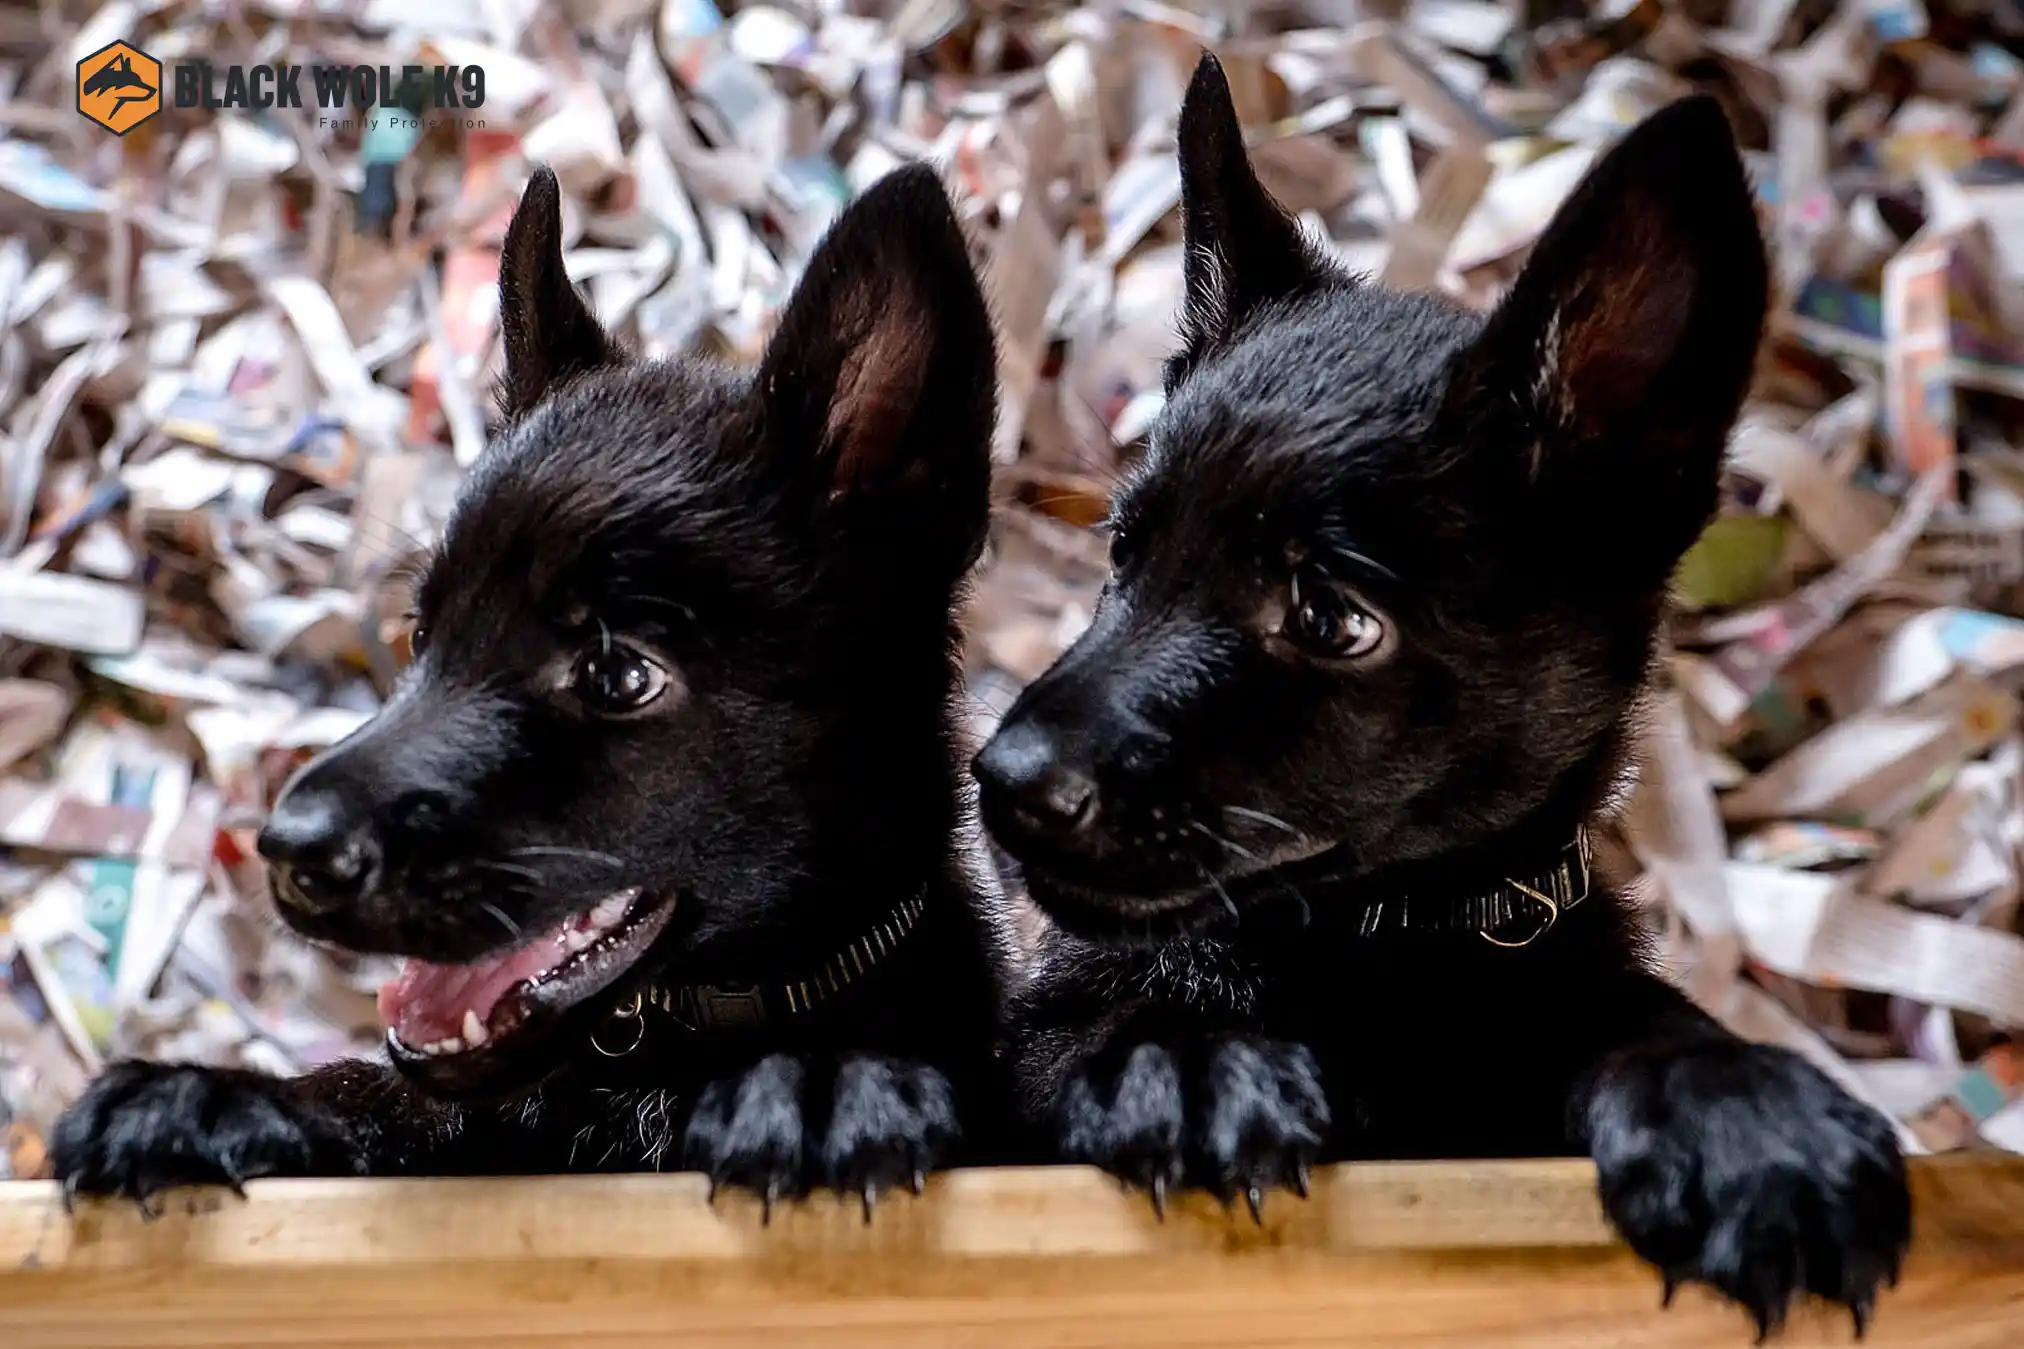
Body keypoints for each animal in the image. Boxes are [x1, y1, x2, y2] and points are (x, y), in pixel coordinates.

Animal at [53, 163, 1011, 1221]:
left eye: (619, 674)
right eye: (422, 636)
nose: (290, 853)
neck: (657, 1050)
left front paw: (822, 1082)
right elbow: (380, 1096)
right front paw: (214, 1097)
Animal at [979, 55, 1910, 1342]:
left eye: (1330, 617)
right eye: (1123, 556)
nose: (1002, 783)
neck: (1390, 944)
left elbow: (1636, 1016)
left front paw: (1742, 1109)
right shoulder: (1047, 1029)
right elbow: (1104, 1015)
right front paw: (1182, 1054)